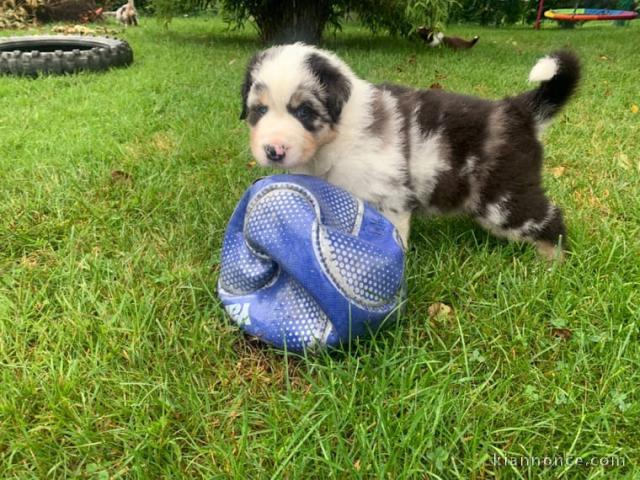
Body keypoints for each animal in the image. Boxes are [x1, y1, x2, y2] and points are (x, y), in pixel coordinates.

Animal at [240, 44, 580, 260]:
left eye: (304, 112)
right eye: (259, 110)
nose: (273, 150)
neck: (337, 135)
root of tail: (519, 111)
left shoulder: (390, 198)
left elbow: (395, 238)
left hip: (505, 198)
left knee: (550, 218)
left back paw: (552, 264)